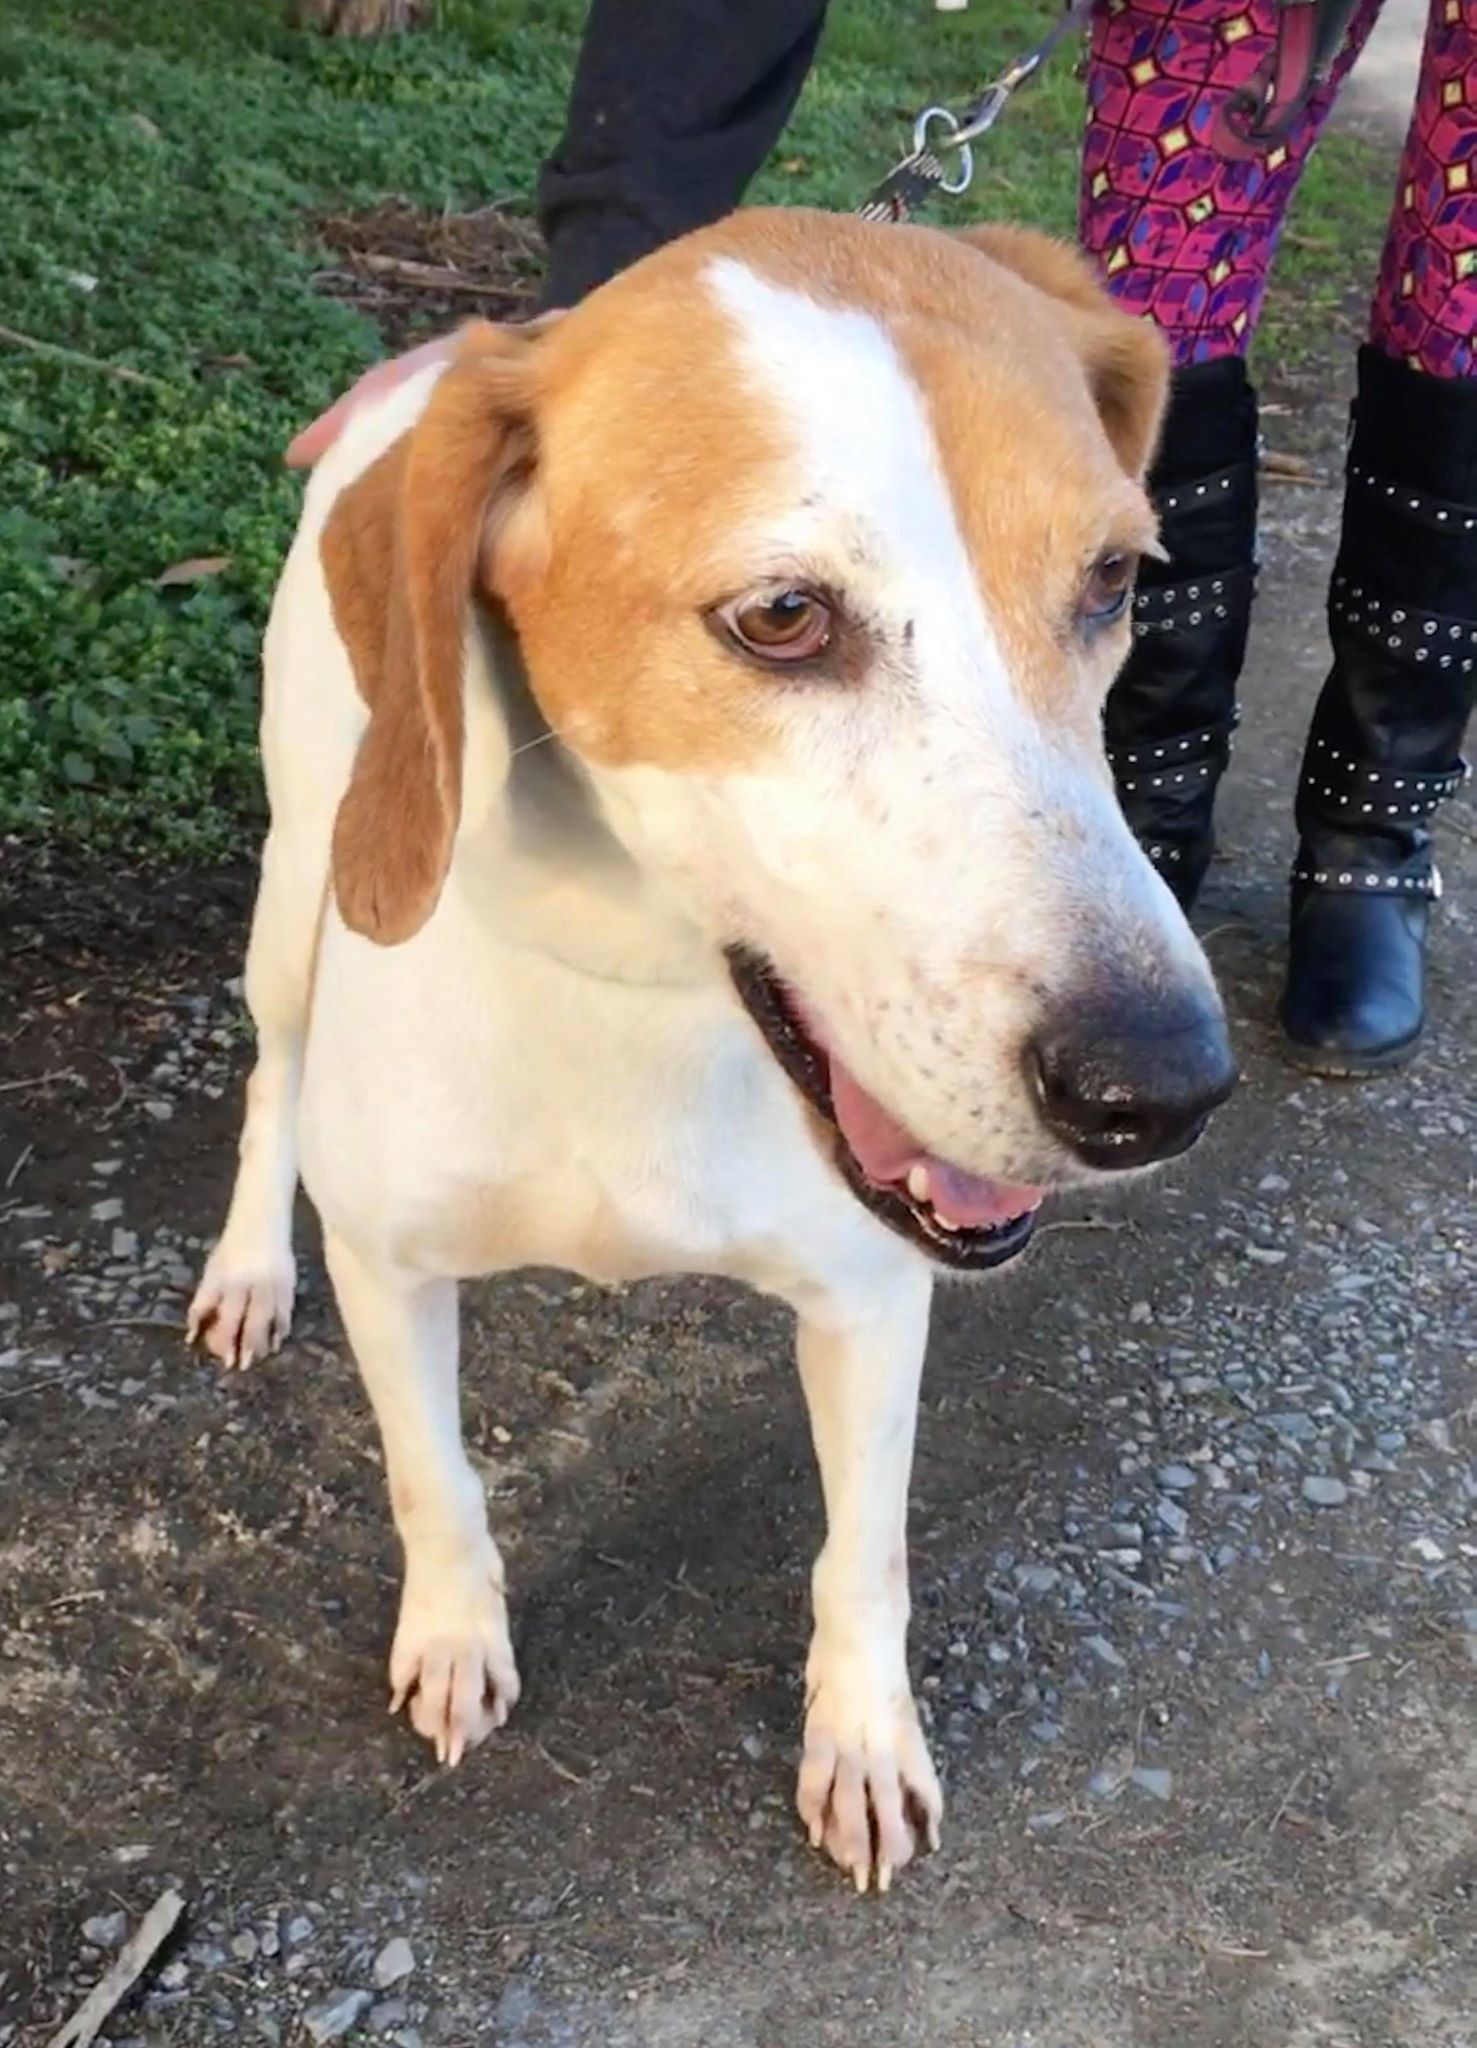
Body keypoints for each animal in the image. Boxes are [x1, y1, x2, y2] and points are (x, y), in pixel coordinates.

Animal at [190, 207, 1237, 1884]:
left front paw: (862, 1738)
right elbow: (434, 1480)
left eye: (1113, 579)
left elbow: (861, 1556)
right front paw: (456, 1634)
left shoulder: (872, 1300)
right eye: (783, 617)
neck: (638, 984)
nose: (1160, 1087)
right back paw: (242, 1268)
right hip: (304, 891)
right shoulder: (391, 1268)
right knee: (266, 1076)